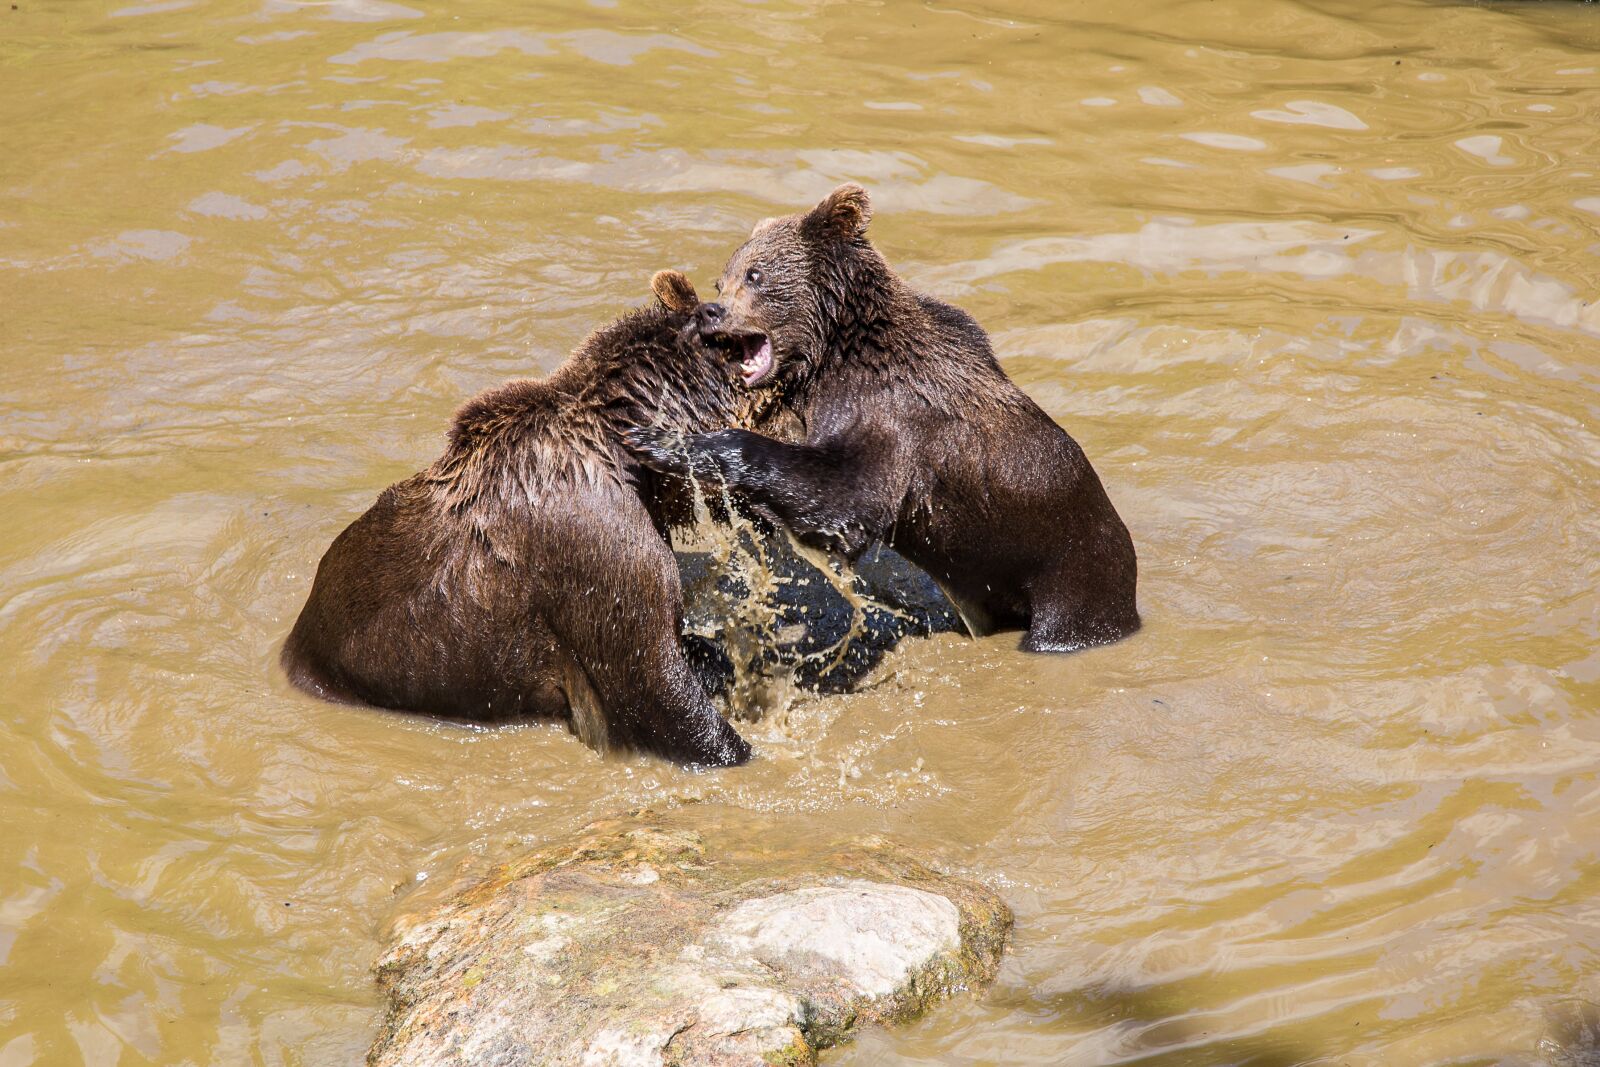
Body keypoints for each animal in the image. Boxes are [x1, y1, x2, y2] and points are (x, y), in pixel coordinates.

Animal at [628, 184, 1140, 653]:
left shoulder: (887, 413)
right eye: (722, 280)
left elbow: (847, 500)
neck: (832, 349)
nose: (709, 311)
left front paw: (660, 440)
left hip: (1073, 569)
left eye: (756, 274)